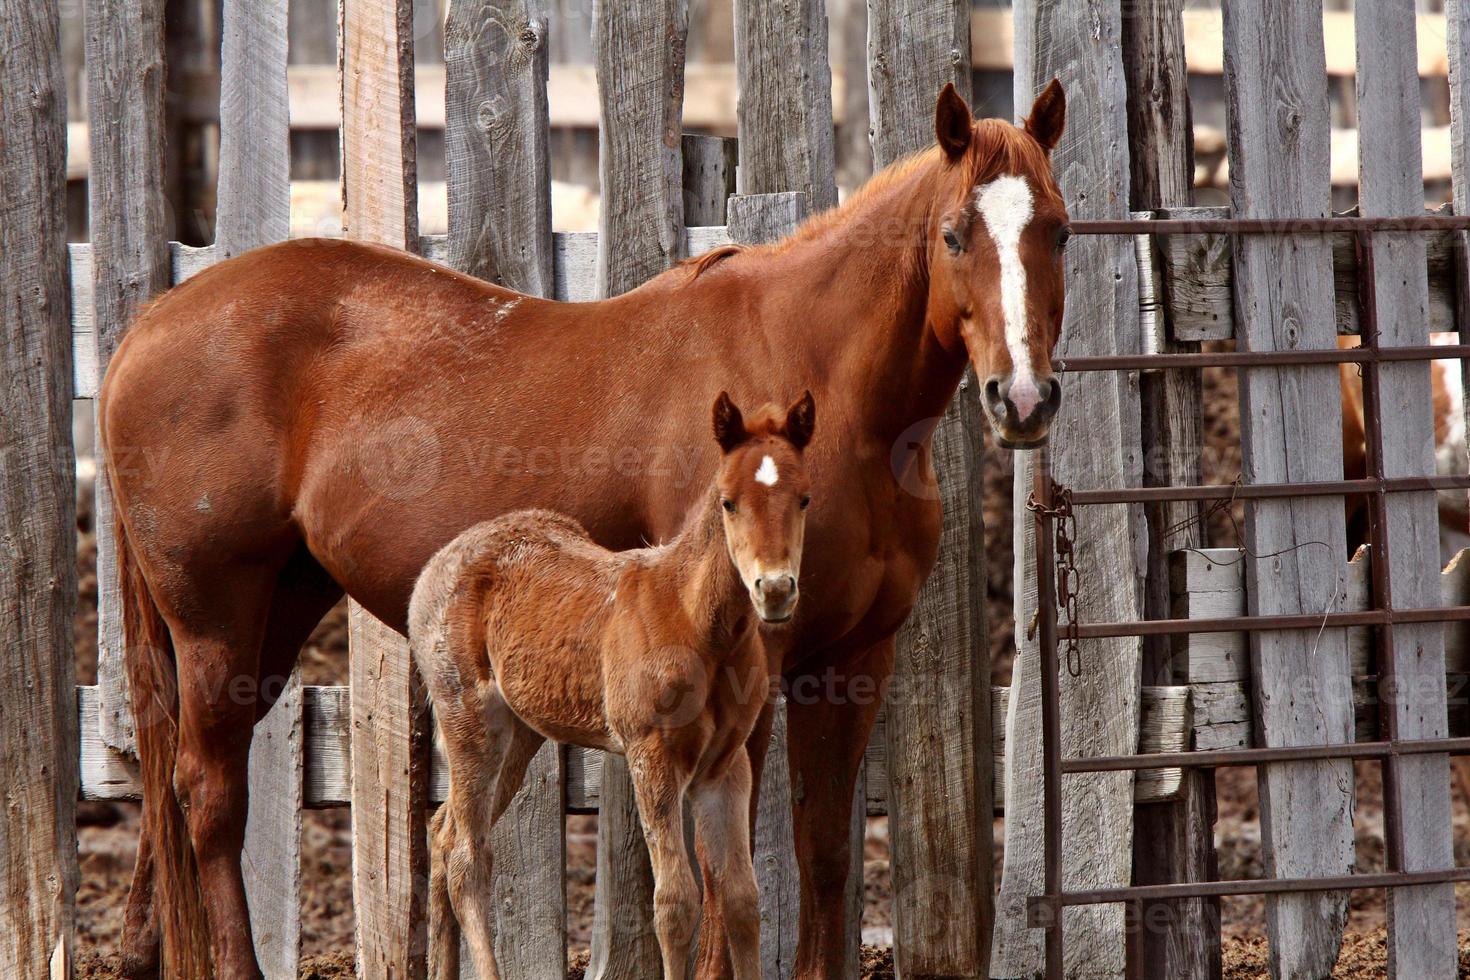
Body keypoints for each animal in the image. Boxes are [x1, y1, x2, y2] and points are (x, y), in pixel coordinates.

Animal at [411, 393, 817, 980]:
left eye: (804, 498)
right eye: (728, 503)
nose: (776, 590)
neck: (697, 623)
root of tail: (438, 562)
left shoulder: (726, 764)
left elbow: (742, 899)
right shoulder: (651, 753)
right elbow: (675, 901)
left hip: (520, 734)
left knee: (444, 835)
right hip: (468, 718)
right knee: (467, 856)